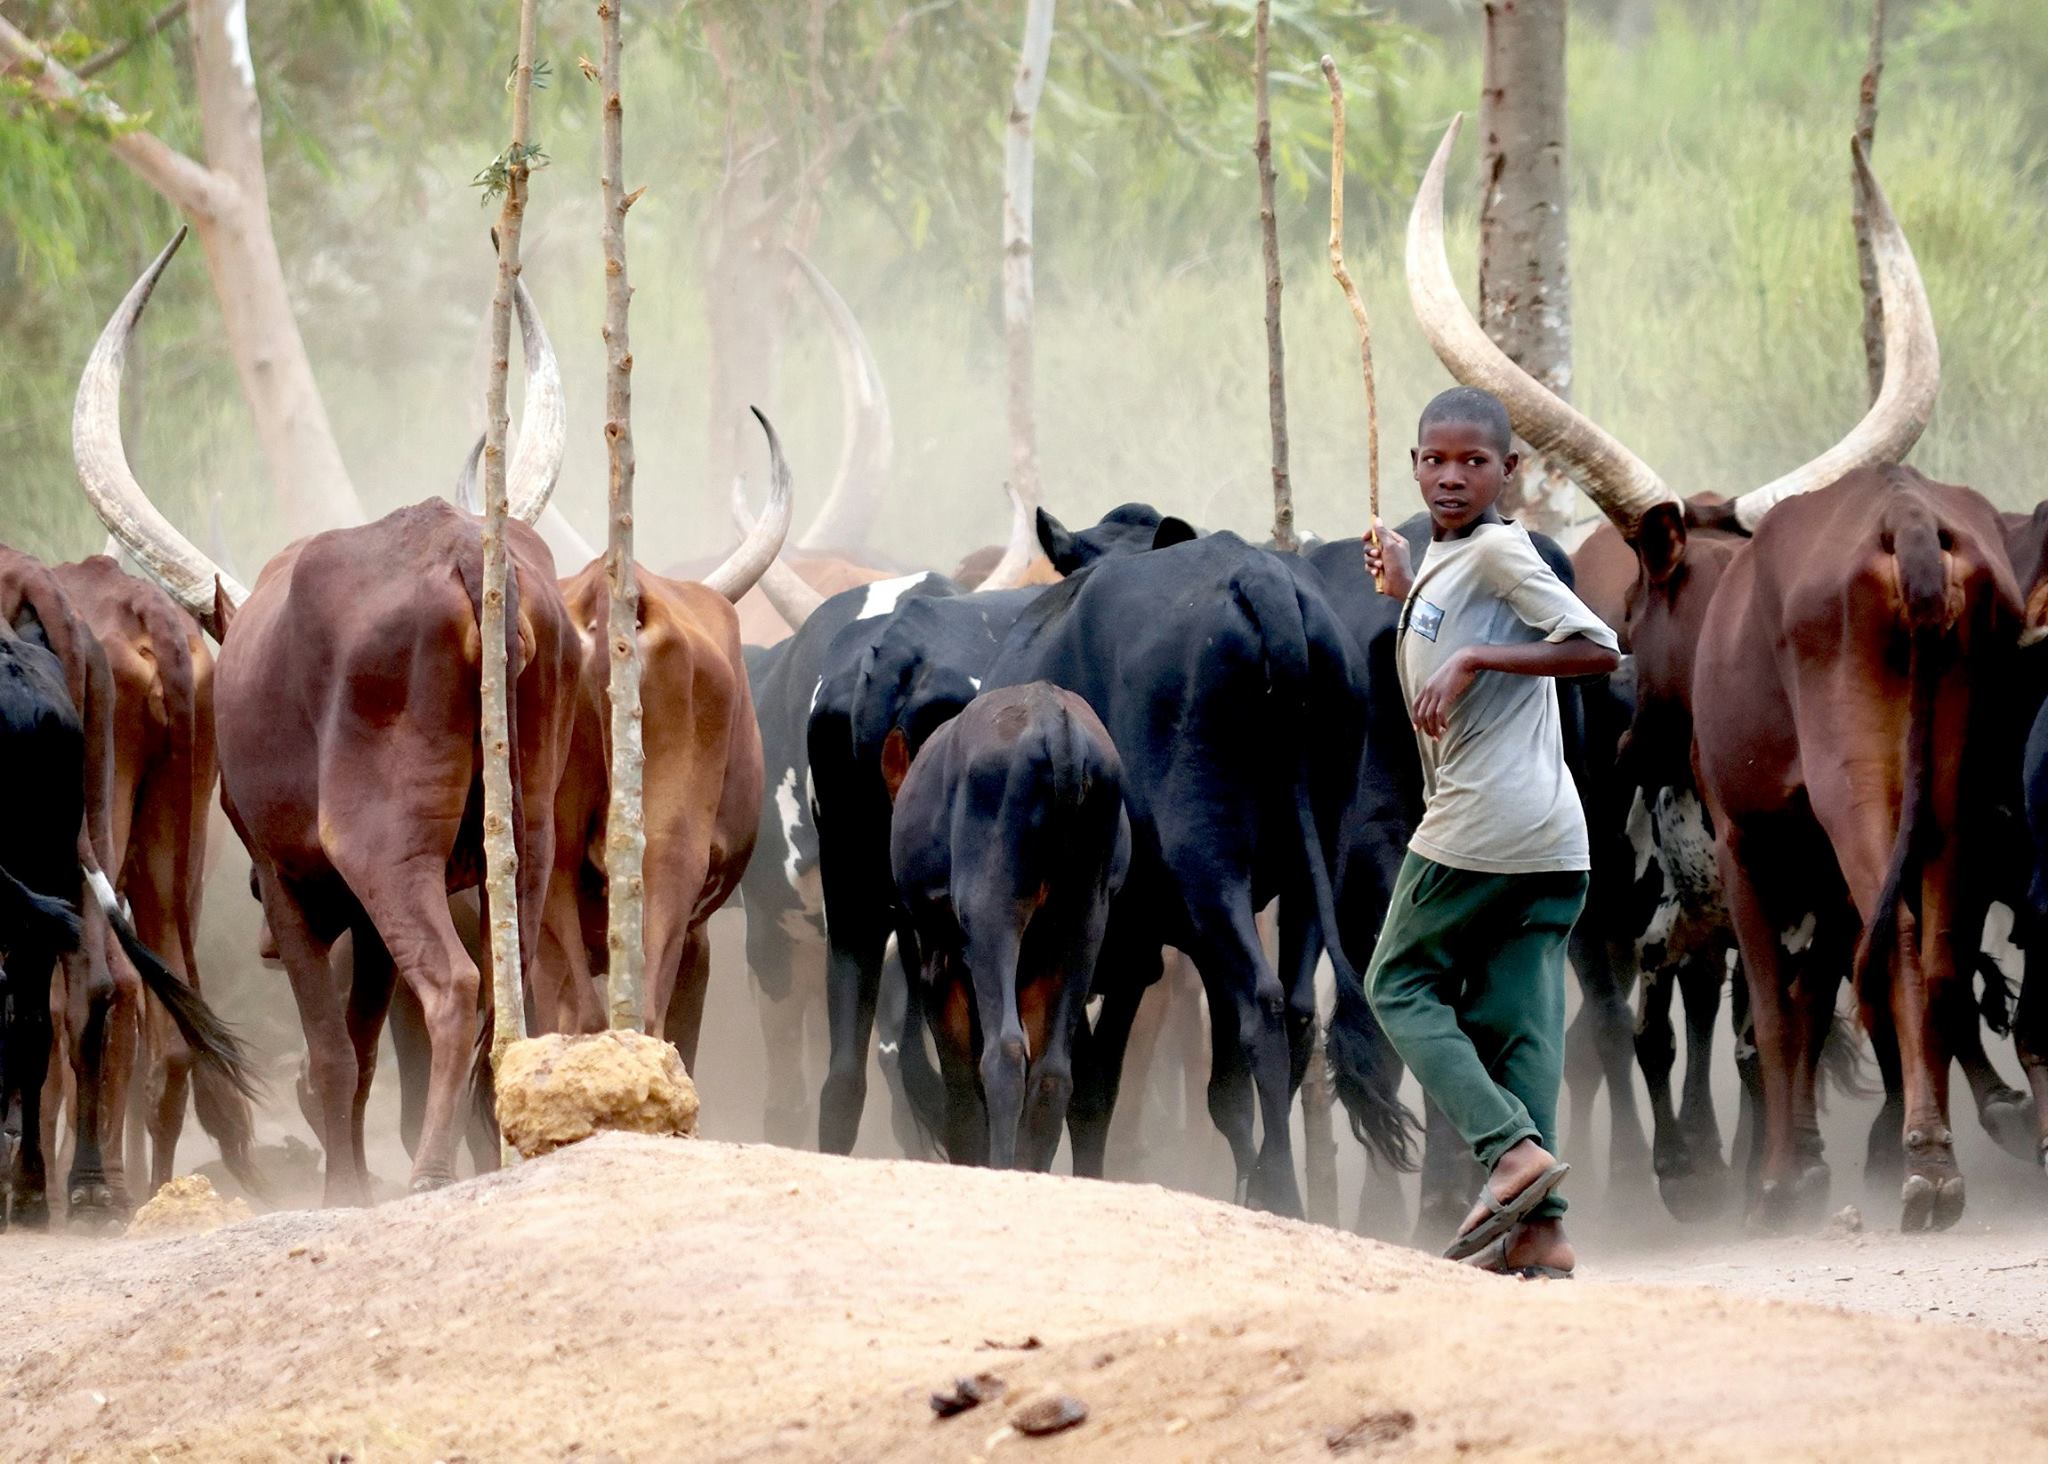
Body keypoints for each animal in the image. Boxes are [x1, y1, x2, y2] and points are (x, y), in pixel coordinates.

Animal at [888, 679, 1130, 1171]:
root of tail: (1058, 727)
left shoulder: (940, 969)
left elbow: (961, 1092)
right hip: (1082, 923)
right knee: (1054, 1072)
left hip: (992, 914)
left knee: (1003, 1052)